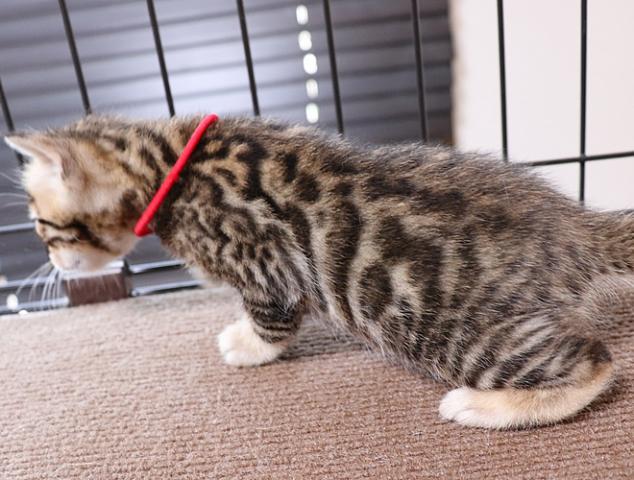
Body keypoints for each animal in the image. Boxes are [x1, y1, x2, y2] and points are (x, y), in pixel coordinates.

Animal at [5, 114, 632, 429]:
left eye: (43, 225)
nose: (53, 264)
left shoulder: (264, 265)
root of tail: (575, 228)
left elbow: (272, 319)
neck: (169, 165)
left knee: (596, 363)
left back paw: (482, 406)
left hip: (455, 331)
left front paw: (248, 345)